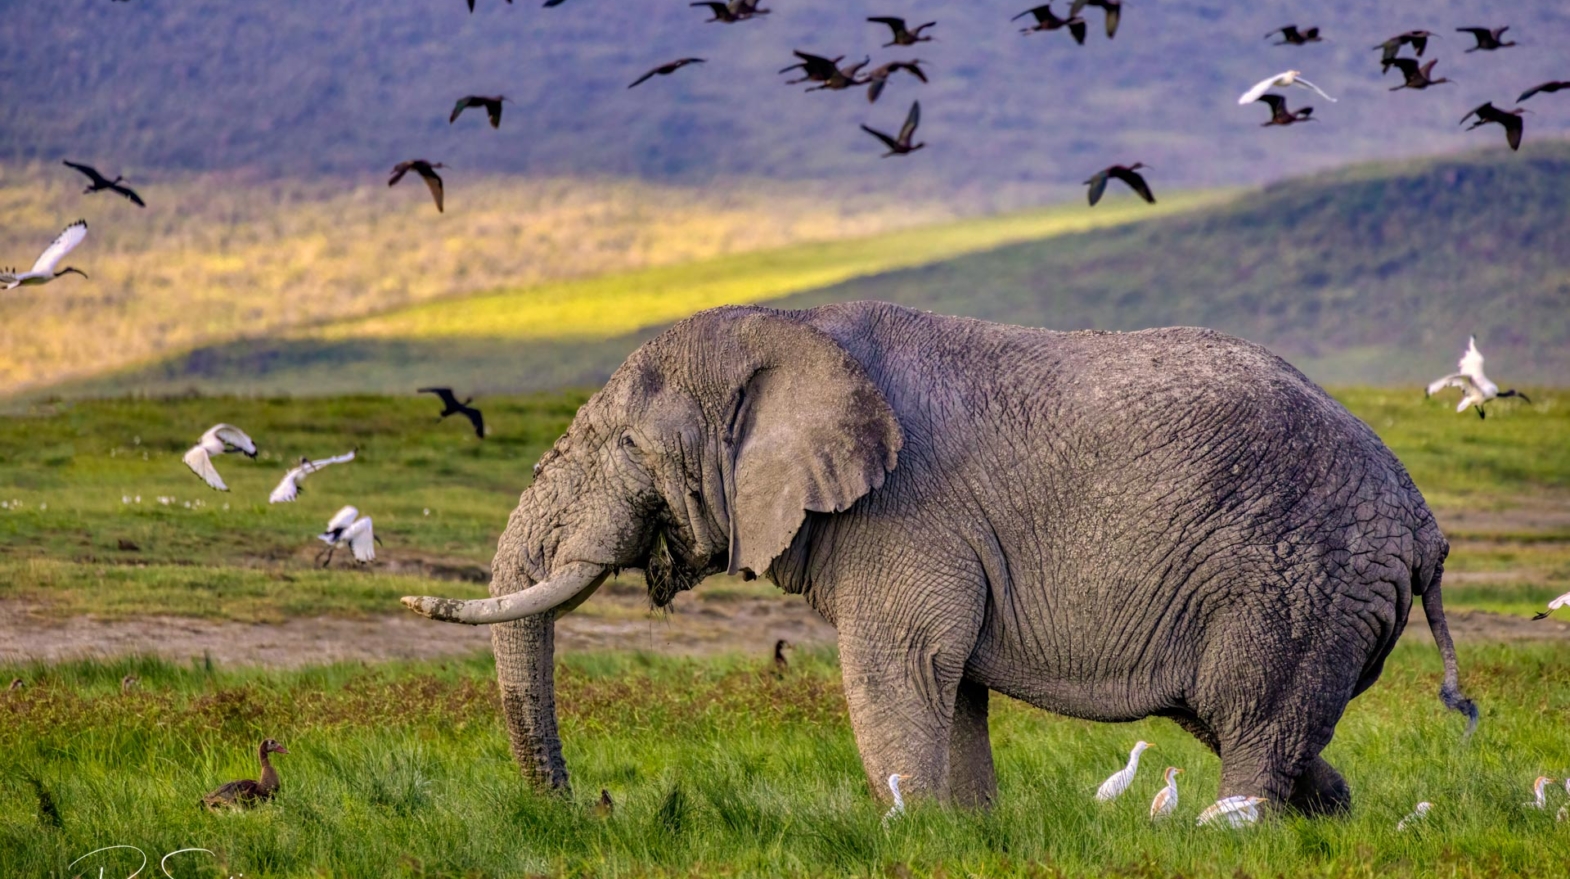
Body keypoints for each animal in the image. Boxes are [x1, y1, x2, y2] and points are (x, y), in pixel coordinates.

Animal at [404, 300, 1476, 813]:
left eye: (627, 448)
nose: (588, 810)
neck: (795, 327)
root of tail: (1425, 525)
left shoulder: (907, 513)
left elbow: (903, 664)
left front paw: (908, 830)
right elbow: (952, 682)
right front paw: (966, 834)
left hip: (1302, 582)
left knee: (1253, 719)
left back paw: (1234, 831)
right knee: (1261, 726)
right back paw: (1328, 823)